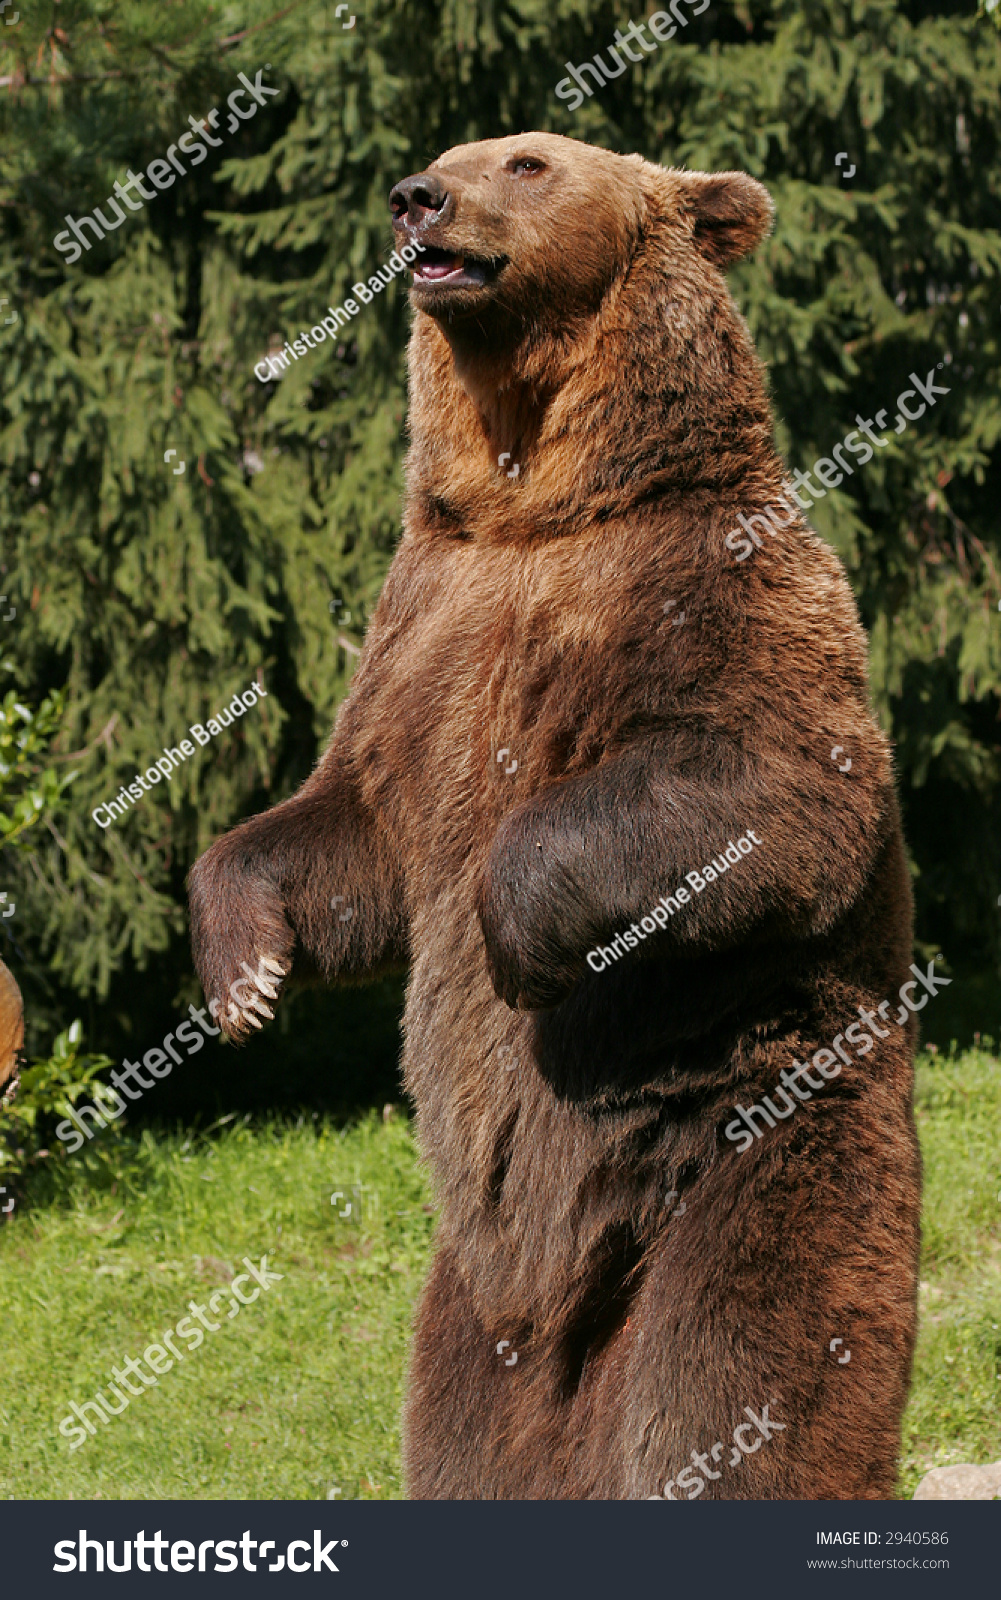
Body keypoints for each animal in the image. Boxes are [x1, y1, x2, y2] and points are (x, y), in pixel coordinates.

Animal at [187, 134, 921, 1497]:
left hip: (754, 1153)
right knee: (458, 1441)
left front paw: (518, 942)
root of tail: (562, 1320)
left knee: (739, 1387)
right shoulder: (427, 616)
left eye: (526, 162)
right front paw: (244, 974)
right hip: (463, 1322)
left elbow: (773, 790)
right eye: (445, 157)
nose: (416, 199)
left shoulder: (709, 581)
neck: (538, 493)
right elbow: (358, 825)